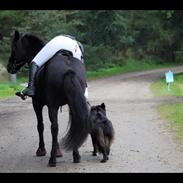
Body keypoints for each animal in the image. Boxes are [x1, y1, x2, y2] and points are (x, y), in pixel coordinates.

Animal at [6, 30, 89, 167]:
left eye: (14, 47)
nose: (9, 67)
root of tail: (69, 69)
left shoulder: (37, 104)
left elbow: (40, 126)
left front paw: (42, 150)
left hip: (52, 106)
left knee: (54, 128)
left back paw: (52, 159)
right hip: (72, 103)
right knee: (75, 121)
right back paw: (76, 155)